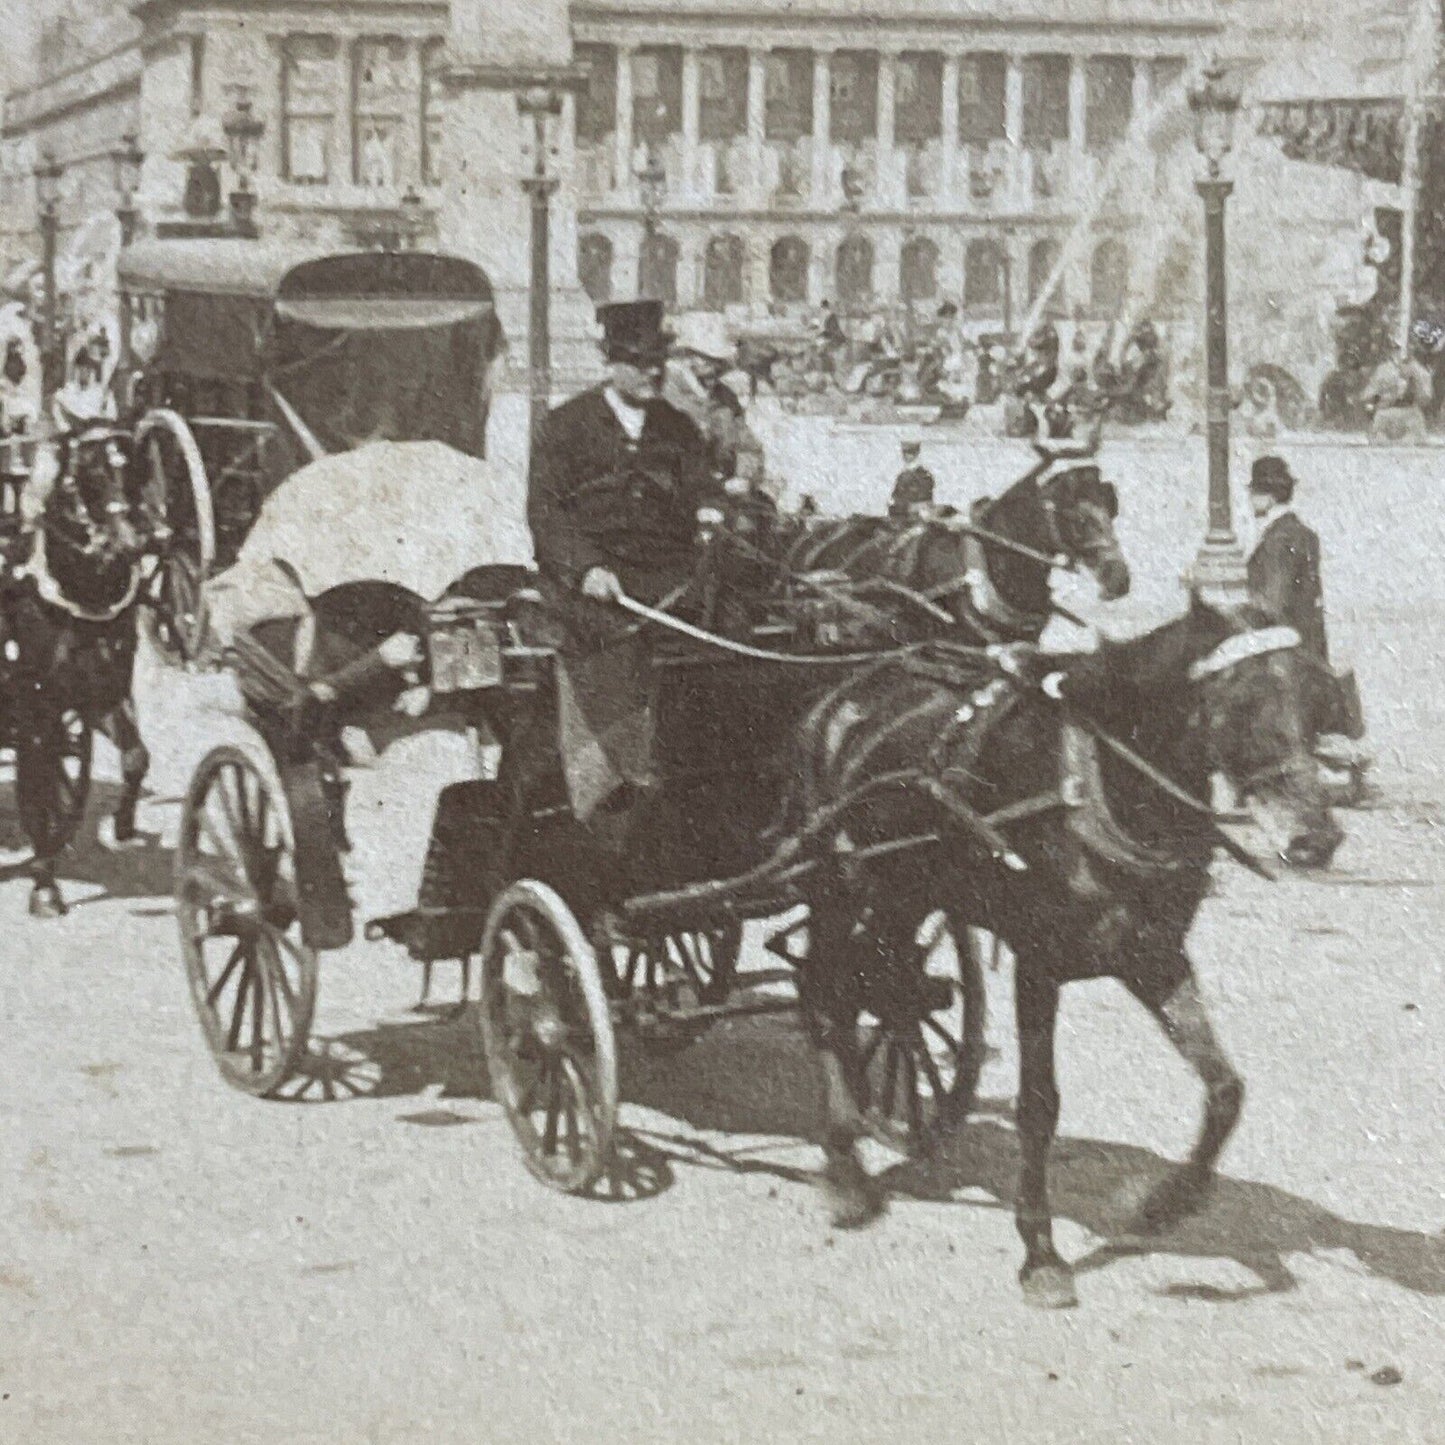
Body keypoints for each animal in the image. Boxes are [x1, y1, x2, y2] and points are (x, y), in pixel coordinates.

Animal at [780, 598, 1340, 1312]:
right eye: (1239, 703)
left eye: (1319, 700)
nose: (1317, 839)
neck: (1091, 787)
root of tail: (844, 691)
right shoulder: (1038, 961)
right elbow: (1038, 1106)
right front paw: (1040, 1253)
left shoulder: (1154, 954)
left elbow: (1224, 1089)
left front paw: (1166, 1202)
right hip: (840, 883)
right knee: (824, 988)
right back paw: (845, 1170)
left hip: (902, 892)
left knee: (870, 988)